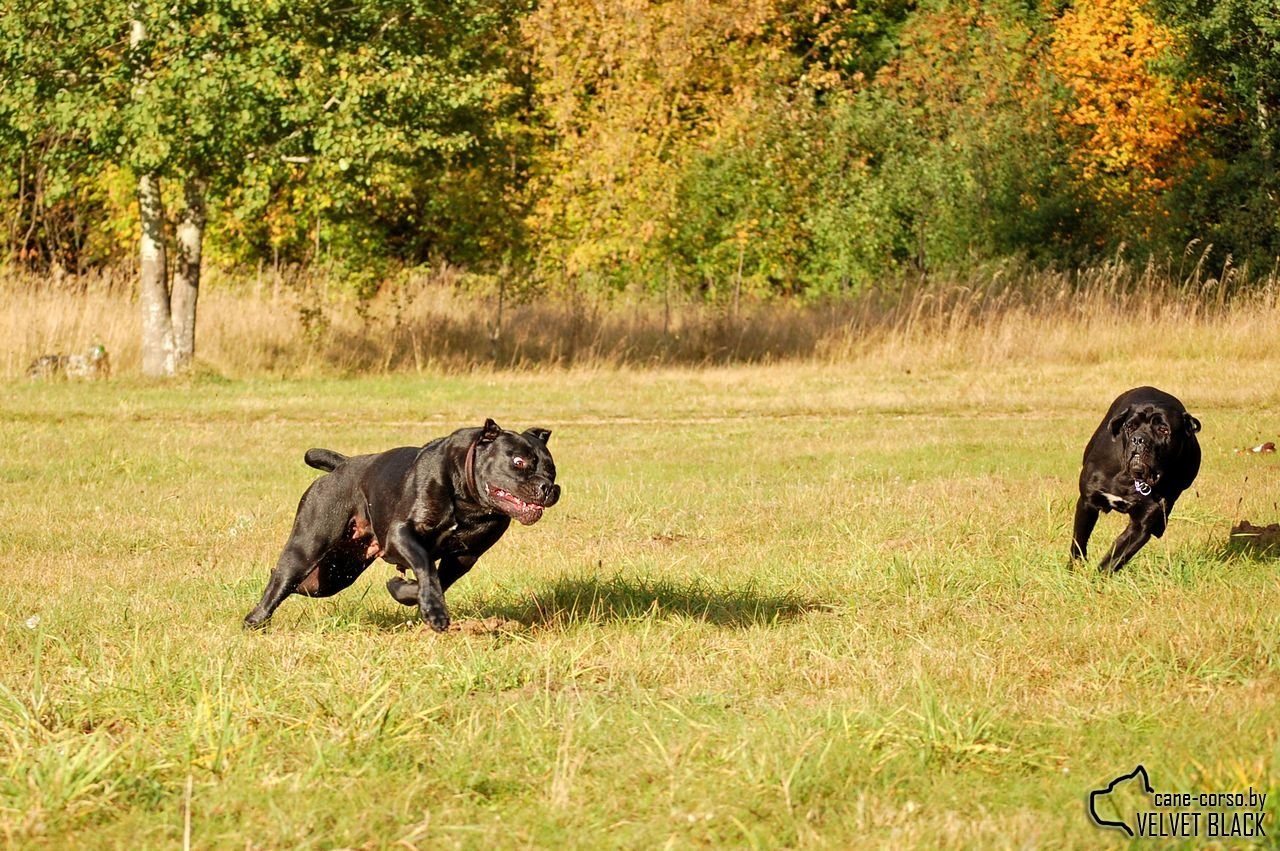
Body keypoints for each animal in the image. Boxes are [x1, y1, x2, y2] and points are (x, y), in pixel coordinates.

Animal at [241, 417, 558, 629]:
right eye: (518, 462)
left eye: (552, 469)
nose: (549, 487)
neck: (469, 501)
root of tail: (341, 465)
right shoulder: (402, 534)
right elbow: (427, 566)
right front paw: (435, 613)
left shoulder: (465, 557)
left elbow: (433, 581)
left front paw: (405, 592)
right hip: (308, 546)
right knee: (282, 578)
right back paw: (254, 620)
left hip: (332, 575)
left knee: (296, 582)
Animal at [1070, 383, 1198, 570]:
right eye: (1130, 426)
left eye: (1163, 429)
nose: (1139, 439)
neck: (1132, 480)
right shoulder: (1088, 502)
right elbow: (1079, 542)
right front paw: (1074, 570)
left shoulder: (1141, 527)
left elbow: (1114, 558)